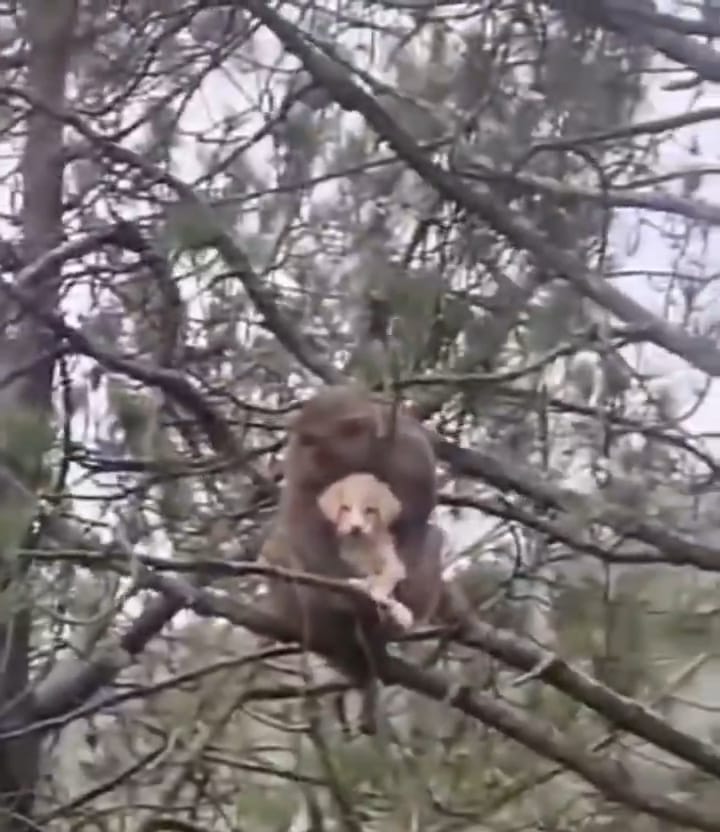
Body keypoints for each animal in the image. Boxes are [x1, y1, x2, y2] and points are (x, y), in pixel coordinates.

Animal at [316, 472, 413, 631]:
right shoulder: (350, 561)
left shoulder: (394, 563)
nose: (356, 528)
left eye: (370, 510)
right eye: (345, 508)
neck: (363, 545)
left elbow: (386, 578)